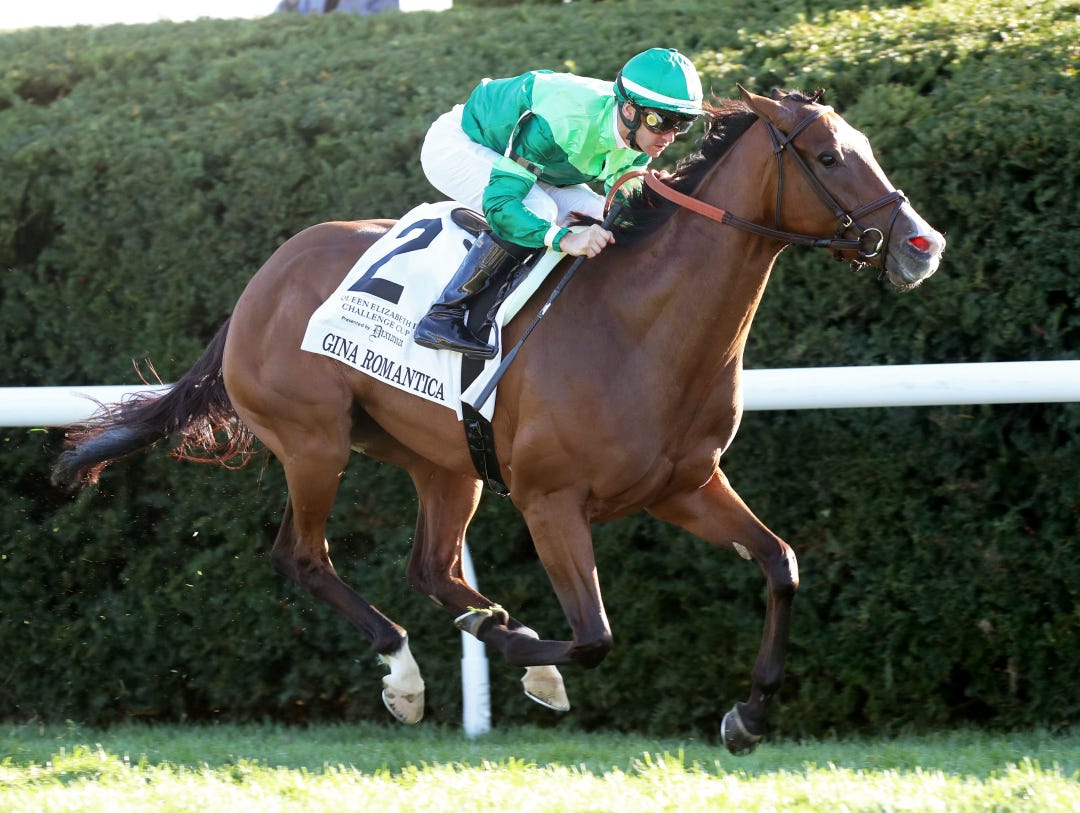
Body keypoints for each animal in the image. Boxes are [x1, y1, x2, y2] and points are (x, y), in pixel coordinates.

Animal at [53, 86, 945, 754]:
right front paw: (520, 650)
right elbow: (595, 633)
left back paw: (481, 627)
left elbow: (780, 563)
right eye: (829, 158)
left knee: (429, 566)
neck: (639, 325)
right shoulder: (552, 502)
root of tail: (259, 281)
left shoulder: (684, 485)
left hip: (445, 463)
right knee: (302, 555)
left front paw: (747, 715)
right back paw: (410, 673)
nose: (922, 245)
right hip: (313, 441)